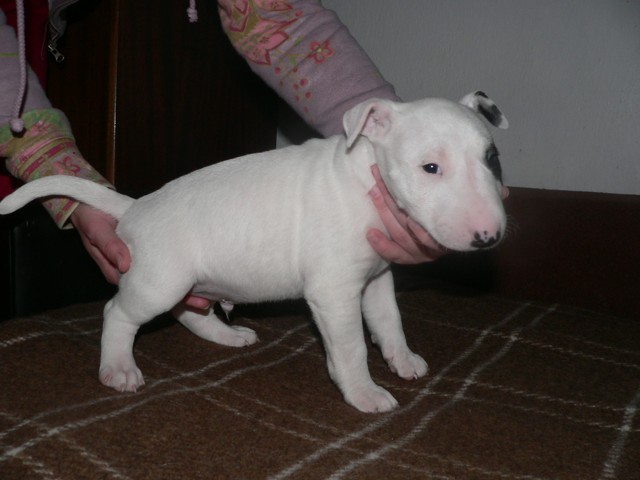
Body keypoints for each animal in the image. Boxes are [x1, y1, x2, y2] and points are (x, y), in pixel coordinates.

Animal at [0, 92, 508, 412]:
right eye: (430, 167)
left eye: (491, 158)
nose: (488, 235)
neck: (364, 177)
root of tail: (136, 206)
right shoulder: (333, 292)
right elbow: (351, 347)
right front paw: (364, 394)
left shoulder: (376, 278)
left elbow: (389, 322)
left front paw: (403, 361)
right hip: (159, 281)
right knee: (118, 313)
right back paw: (119, 367)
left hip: (186, 282)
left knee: (189, 312)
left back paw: (228, 336)